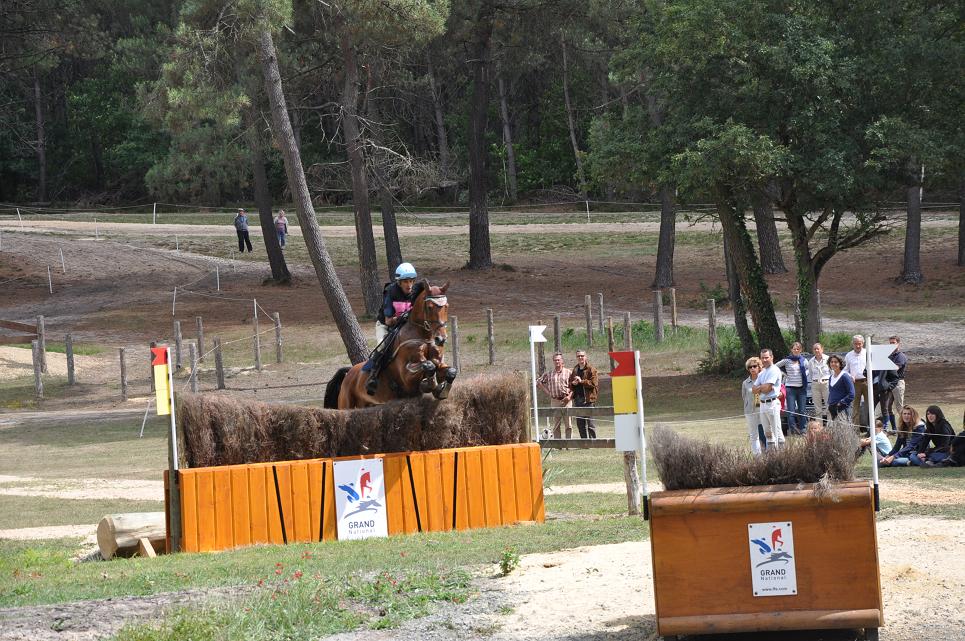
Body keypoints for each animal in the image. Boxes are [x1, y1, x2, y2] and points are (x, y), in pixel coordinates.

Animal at [322, 280, 458, 410]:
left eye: (446, 306)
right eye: (430, 307)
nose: (441, 339)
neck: (424, 335)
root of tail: (349, 373)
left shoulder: (438, 362)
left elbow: (450, 371)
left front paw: (441, 389)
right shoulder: (406, 377)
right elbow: (428, 365)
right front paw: (429, 384)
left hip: (366, 404)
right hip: (346, 403)